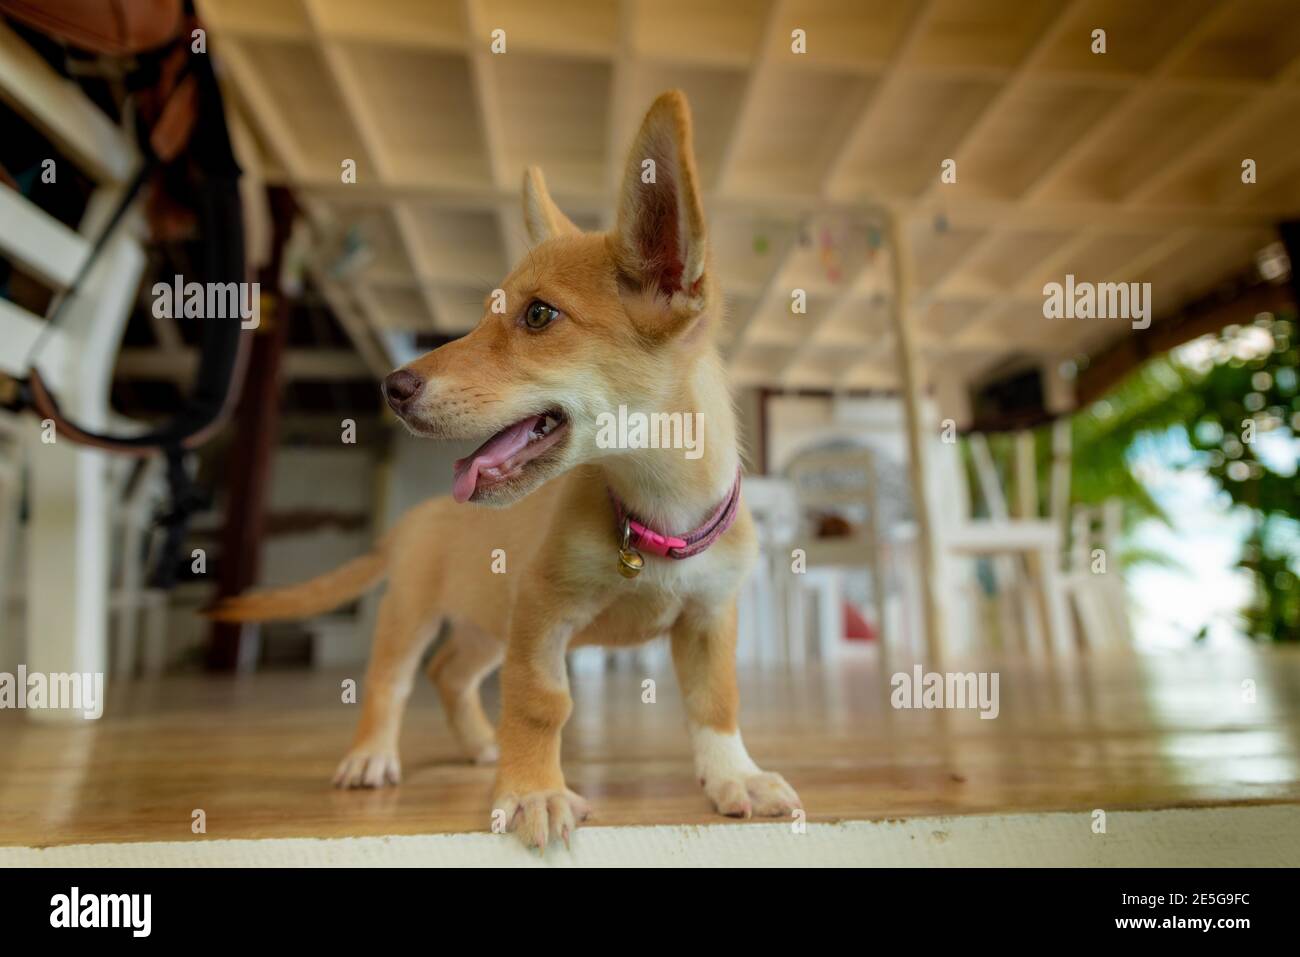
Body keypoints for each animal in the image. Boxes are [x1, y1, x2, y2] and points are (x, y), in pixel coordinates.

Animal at [210, 89, 800, 847]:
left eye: (539, 315)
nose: (391, 387)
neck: (654, 508)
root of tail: (415, 518)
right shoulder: (542, 613)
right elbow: (541, 703)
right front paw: (532, 792)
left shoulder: (708, 617)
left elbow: (716, 701)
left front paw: (735, 775)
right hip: (415, 616)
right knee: (392, 682)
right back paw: (372, 754)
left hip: (487, 623)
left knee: (450, 674)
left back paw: (478, 743)